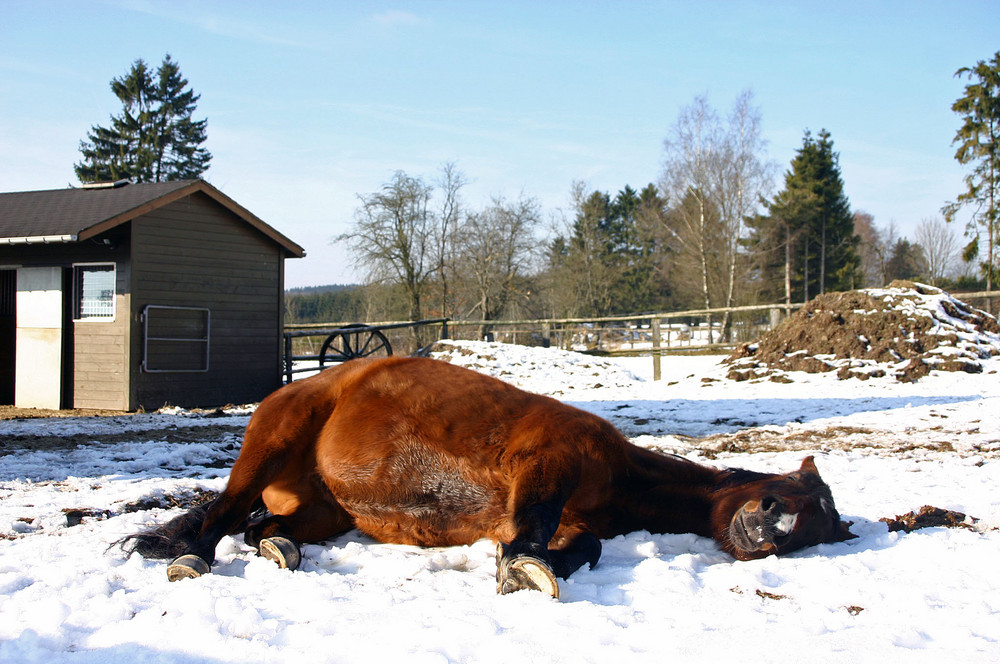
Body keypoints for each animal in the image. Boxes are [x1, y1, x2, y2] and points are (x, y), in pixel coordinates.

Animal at [123, 356, 852, 600]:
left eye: (814, 529)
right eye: (792, 490)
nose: (770, 522)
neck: (623, 478)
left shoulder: (580, 517)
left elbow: (583, 545)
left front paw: (532, 566)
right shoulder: (546, 464)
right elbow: (532, 527)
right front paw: (524, 568)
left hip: (326, 511)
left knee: (262, 527)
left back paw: (280, 547)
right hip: (270, 443)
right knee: (223, 513)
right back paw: (191, 557)